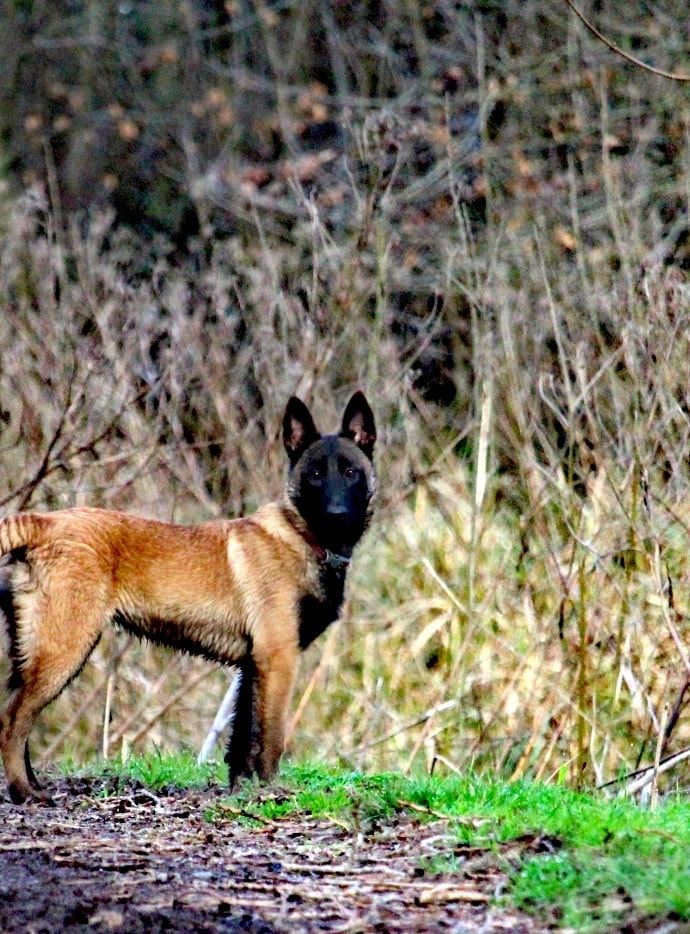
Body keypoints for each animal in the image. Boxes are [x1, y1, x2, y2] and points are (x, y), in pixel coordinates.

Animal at [0, 394, 376, 804]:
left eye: (351, 472)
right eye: (315, 475)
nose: (336, 515)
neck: (302, 538)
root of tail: (44, 522)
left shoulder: (251, 667)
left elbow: (241, 741)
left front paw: (241, 792)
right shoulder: (278, 660)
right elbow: (270, 739)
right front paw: (271, 792)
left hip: (38, 653)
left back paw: (32, 785)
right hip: (62, 650)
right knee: (12, 720)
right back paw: (24, 792)